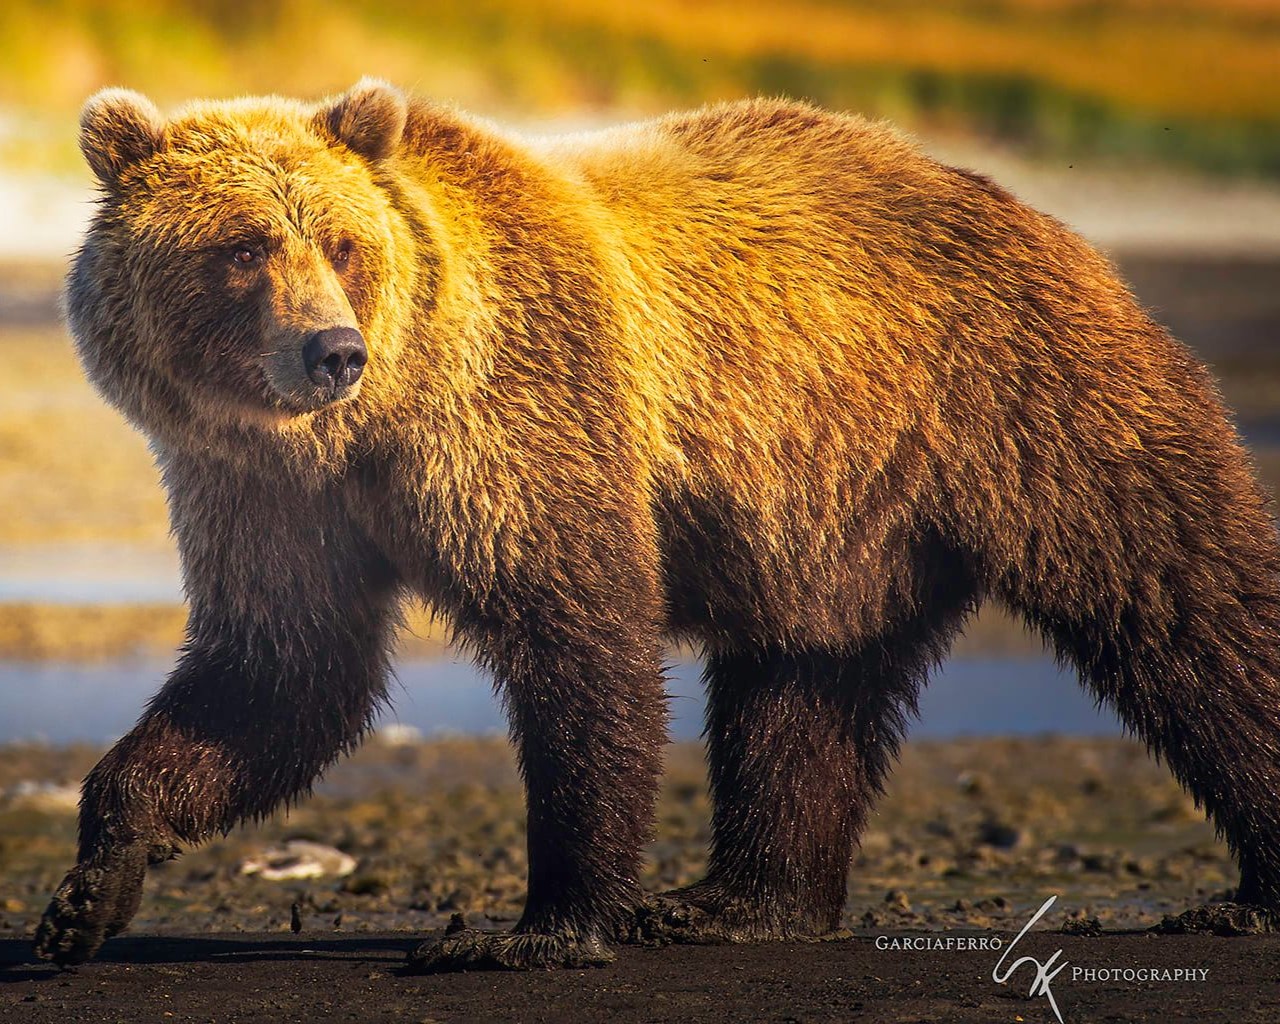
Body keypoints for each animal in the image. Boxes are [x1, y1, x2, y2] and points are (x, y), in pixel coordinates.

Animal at [35, 79, 1280, 971]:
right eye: (244, 245)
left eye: (341, 242)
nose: (328, 349)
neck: (369, 425)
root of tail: (1036, 215)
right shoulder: (258, 489)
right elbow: (279, 670)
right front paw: (87, 892)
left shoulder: (525, 403)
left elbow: (577, 631)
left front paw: (541, 925)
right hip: (835, 509)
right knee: (800, 686)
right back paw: (738, 901)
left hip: (1026, 398)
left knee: (1180, 598)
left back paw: (1244, 891)